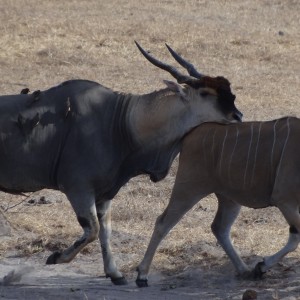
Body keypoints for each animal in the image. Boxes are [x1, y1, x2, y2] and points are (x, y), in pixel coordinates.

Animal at [136, 116, 300, 286]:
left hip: (229, 199)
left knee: (219, 227)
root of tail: (191, 134)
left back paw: (244, 270)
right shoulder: (284, 200)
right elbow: (295, 238)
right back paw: (142, 275)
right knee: (163, 223)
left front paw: (260, 267)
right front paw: (262, 266)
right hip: (188, 189)